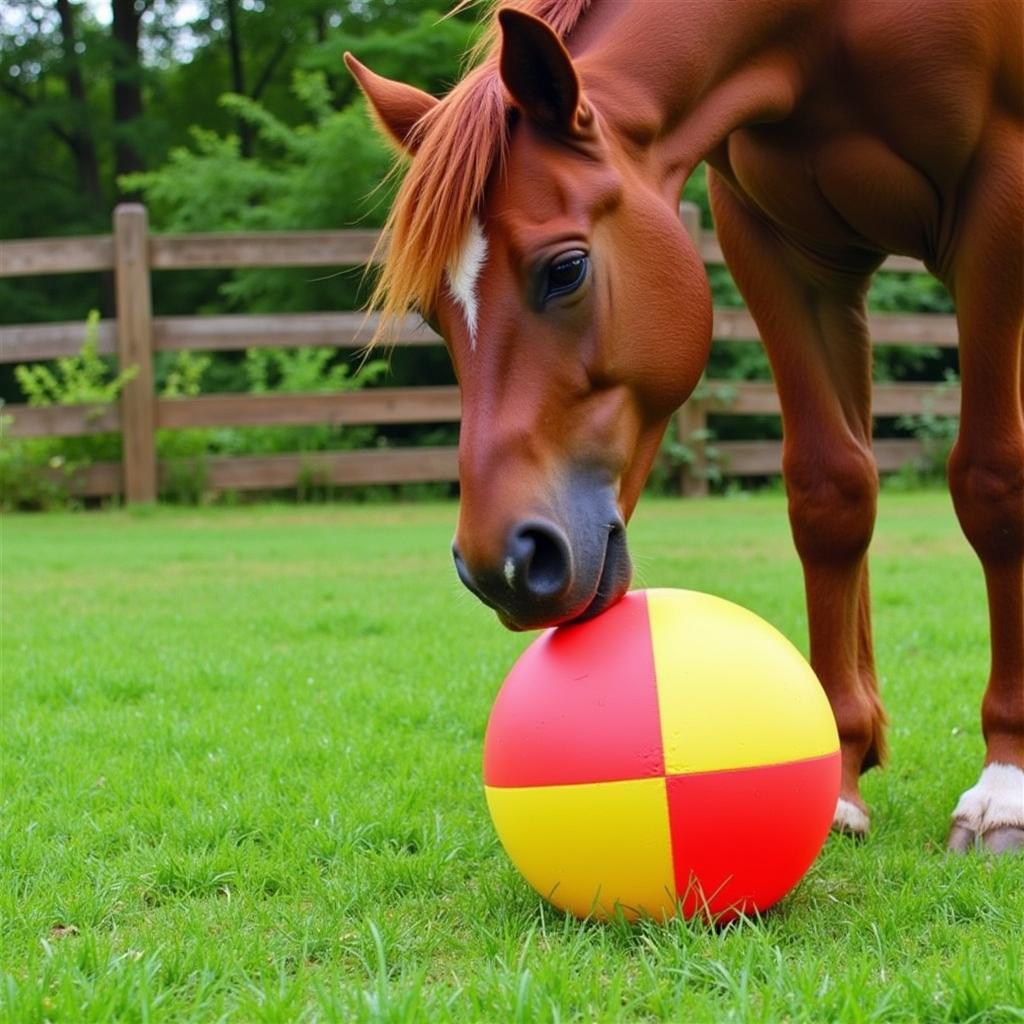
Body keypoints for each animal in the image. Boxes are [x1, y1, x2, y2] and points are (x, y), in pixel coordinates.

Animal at [346, 0, 1024, 856]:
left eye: (566, 269)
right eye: (431, 313)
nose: (502, 563)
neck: (823, 26)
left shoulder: (999, 205)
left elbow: (993, 485)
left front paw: (1004, 785)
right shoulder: (778, 243)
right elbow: (831, 492)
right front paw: (839, 775)